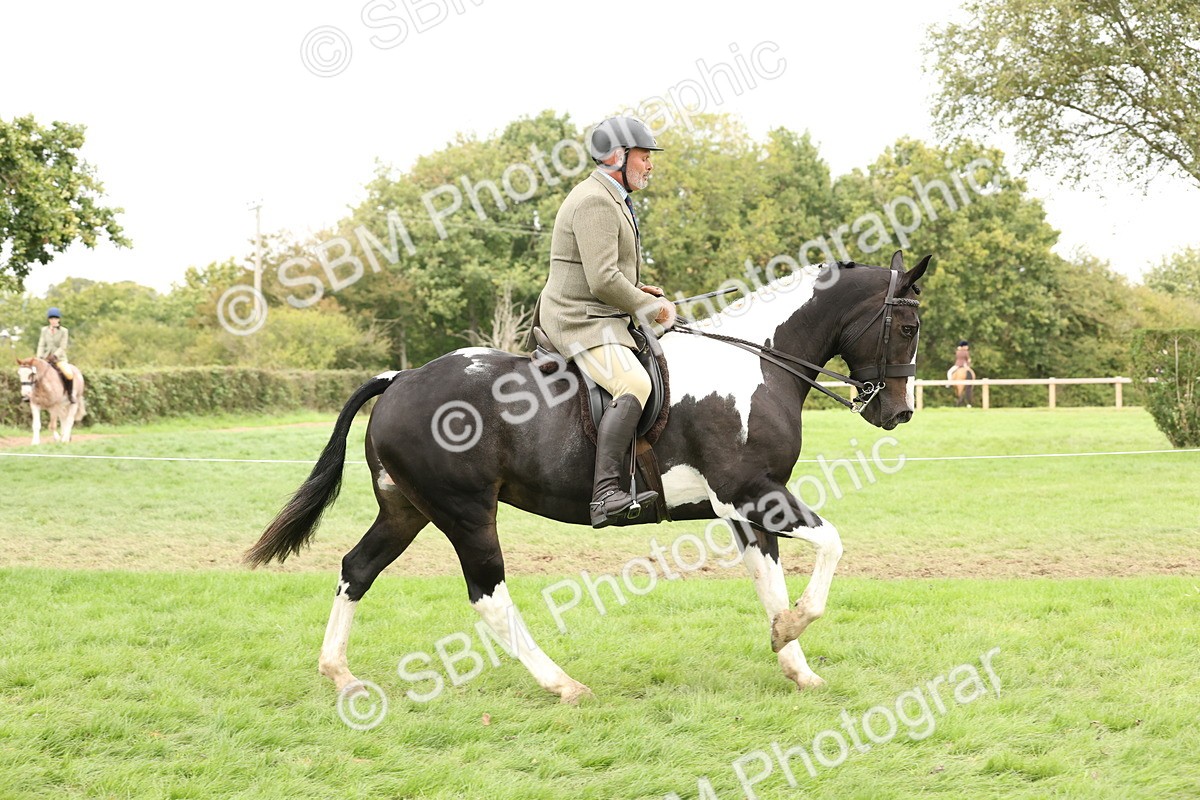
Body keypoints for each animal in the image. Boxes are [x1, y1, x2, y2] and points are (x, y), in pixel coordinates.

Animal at [246, 251, 930, 702]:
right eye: (907, 326)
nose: (897, 412)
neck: (754, 365)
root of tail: (400, 379)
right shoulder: (754, 493)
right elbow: (830, 546)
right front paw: (791, 631)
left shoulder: (742, 508)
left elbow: (770, 583)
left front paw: (796, 665)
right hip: (466, 513)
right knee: (488, 596)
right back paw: (563, 684)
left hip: (406, 510)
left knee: (357, 569)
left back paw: (340, 673)